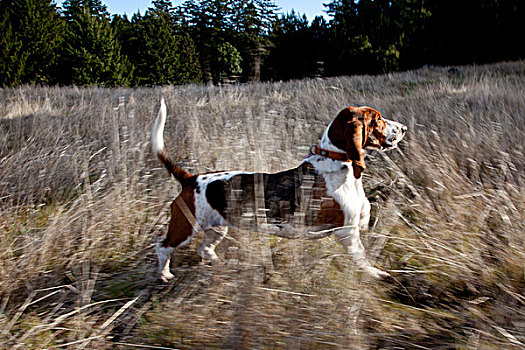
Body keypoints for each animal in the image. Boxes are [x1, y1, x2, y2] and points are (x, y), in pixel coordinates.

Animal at [151, 98, 406, 282]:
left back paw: (220, 265)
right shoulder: (348, 232)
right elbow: (362, 259)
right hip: (185, 228)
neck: (336, 162)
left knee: (204, 249)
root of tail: (189, 178)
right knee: (162, 247)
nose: (403, 128)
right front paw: (376, 274)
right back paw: (164, 275)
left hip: (217, 228)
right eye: (378, 119)